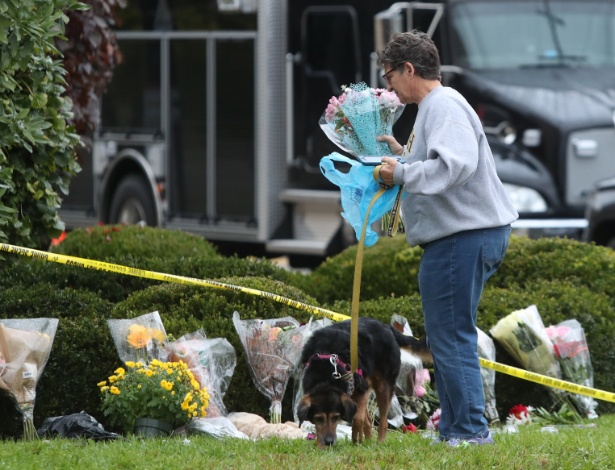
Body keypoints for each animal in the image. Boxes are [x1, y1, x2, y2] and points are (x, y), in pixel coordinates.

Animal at [296, 318, 430, 446]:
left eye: (336, 417)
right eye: (318, 418)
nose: (329, 442)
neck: (325, 375)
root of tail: (387, 327)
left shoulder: (362, 389)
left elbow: (357, 418)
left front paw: (356, 438)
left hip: (382, 386)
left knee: (383, 422)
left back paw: (379, 443)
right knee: (369, 421)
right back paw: (368, 442)